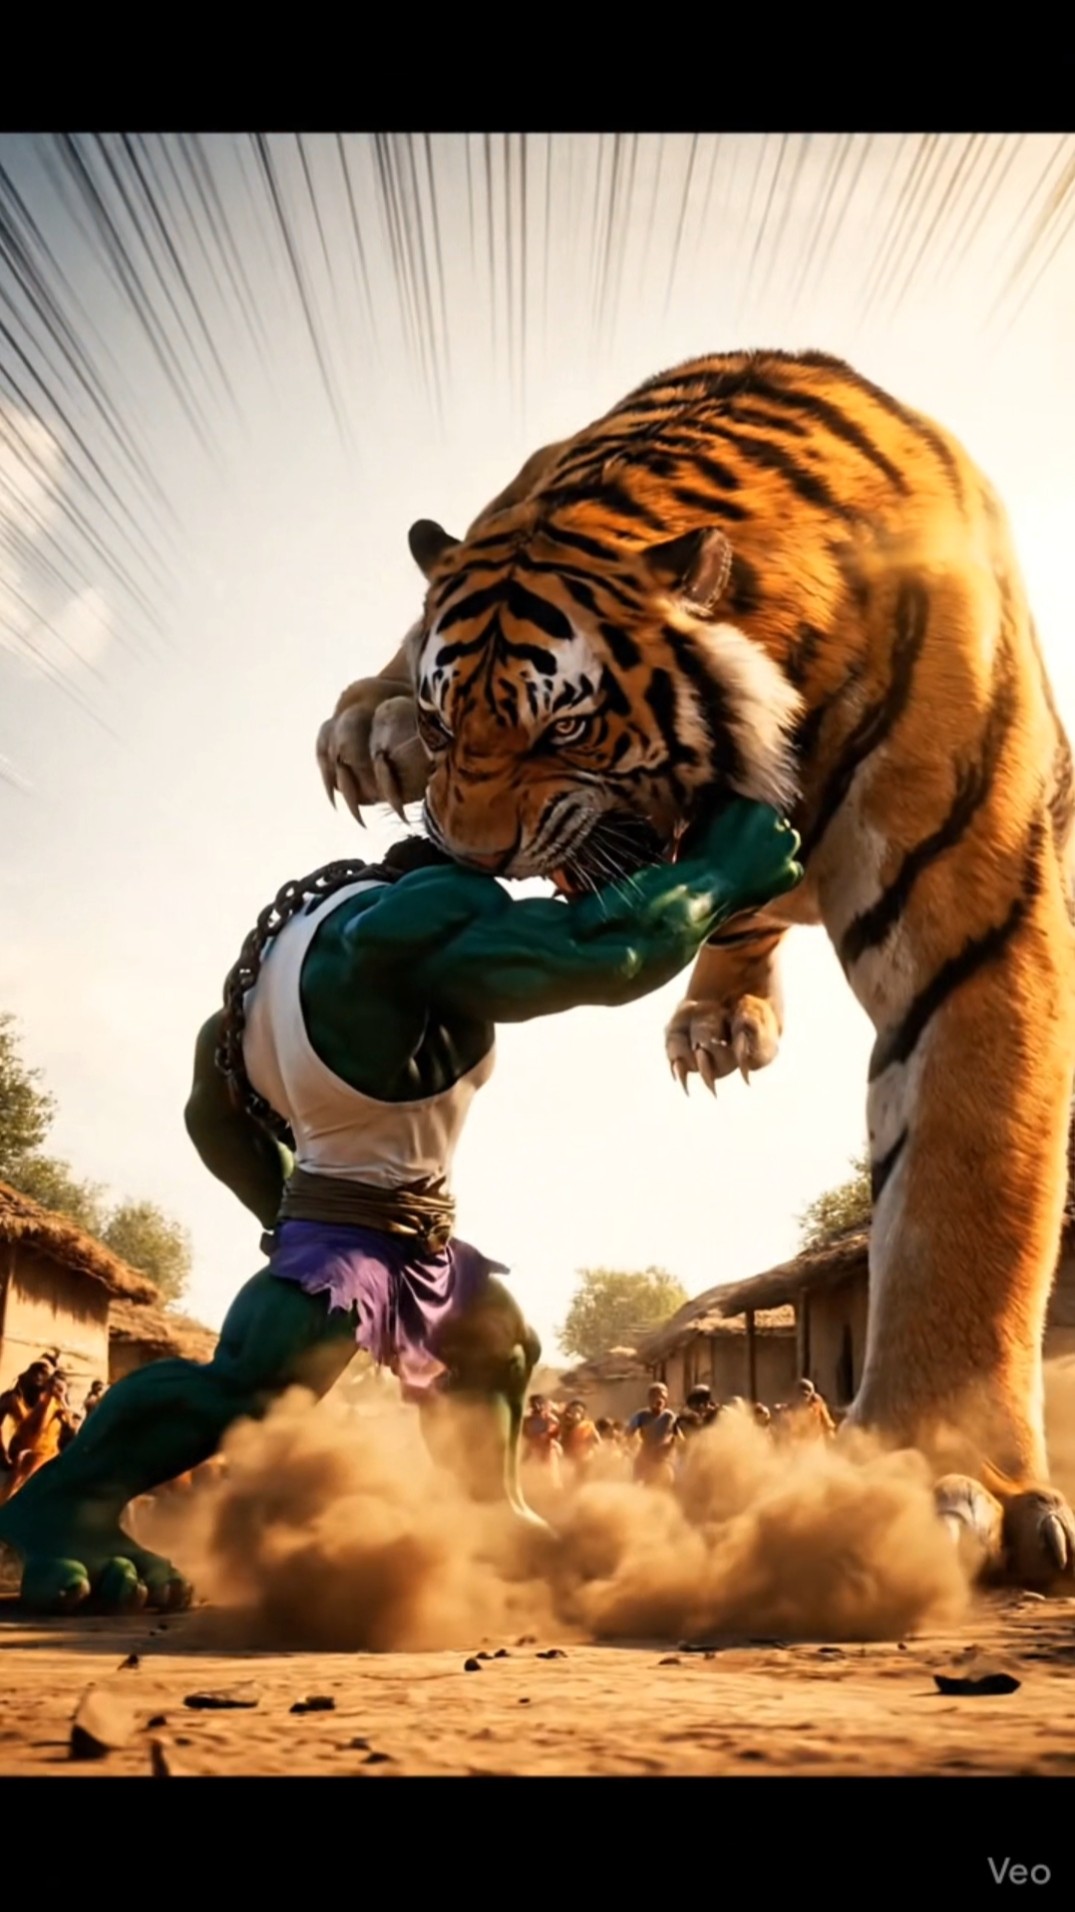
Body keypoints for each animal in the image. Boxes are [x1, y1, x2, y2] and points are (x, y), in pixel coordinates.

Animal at [316, 347, 1075, 1590]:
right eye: (446, 718)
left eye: (563, 731)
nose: (469, 851)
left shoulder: (973, 916)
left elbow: (964, 1187)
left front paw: (944, 1479)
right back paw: (360, 728)